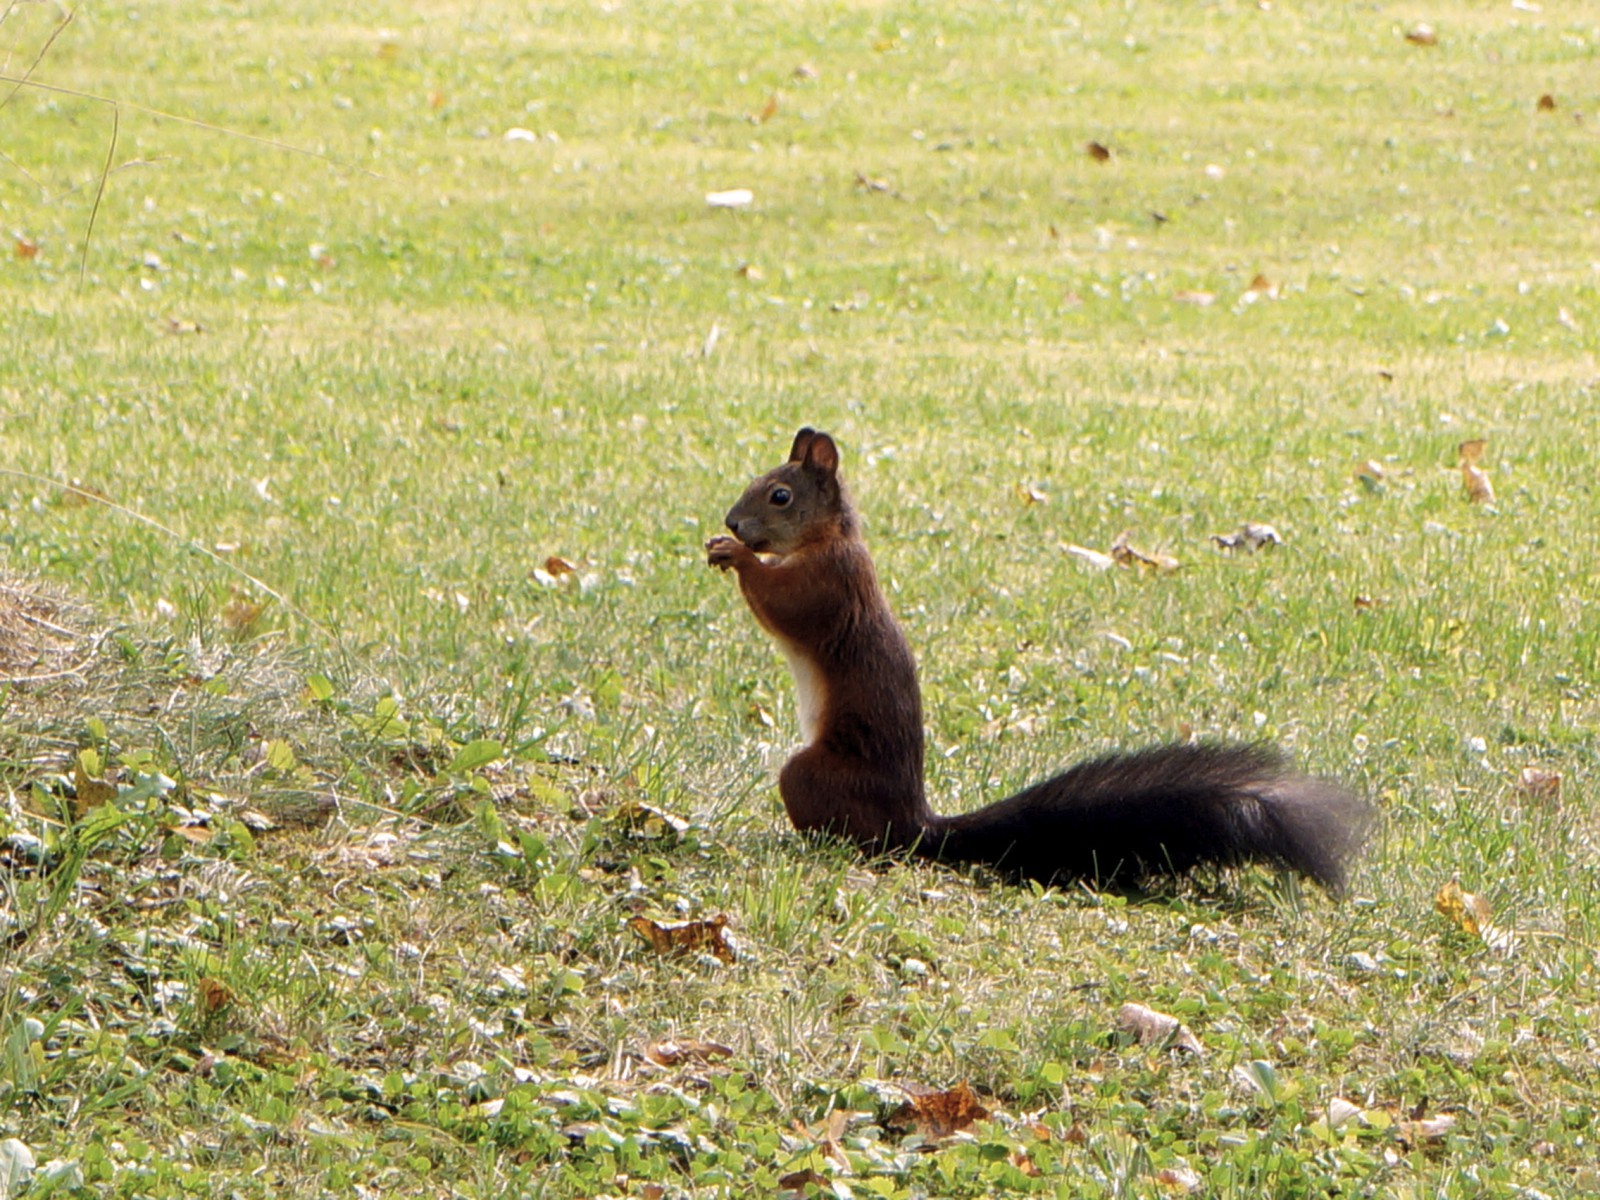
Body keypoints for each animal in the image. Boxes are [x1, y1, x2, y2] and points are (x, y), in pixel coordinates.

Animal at [706, 427, 1372, 893]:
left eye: (780, 495)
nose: (732, 521)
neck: (830, 538)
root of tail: (915, 822)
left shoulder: (829, 585)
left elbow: (785, 606)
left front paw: (738, 556)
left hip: (814, 777)